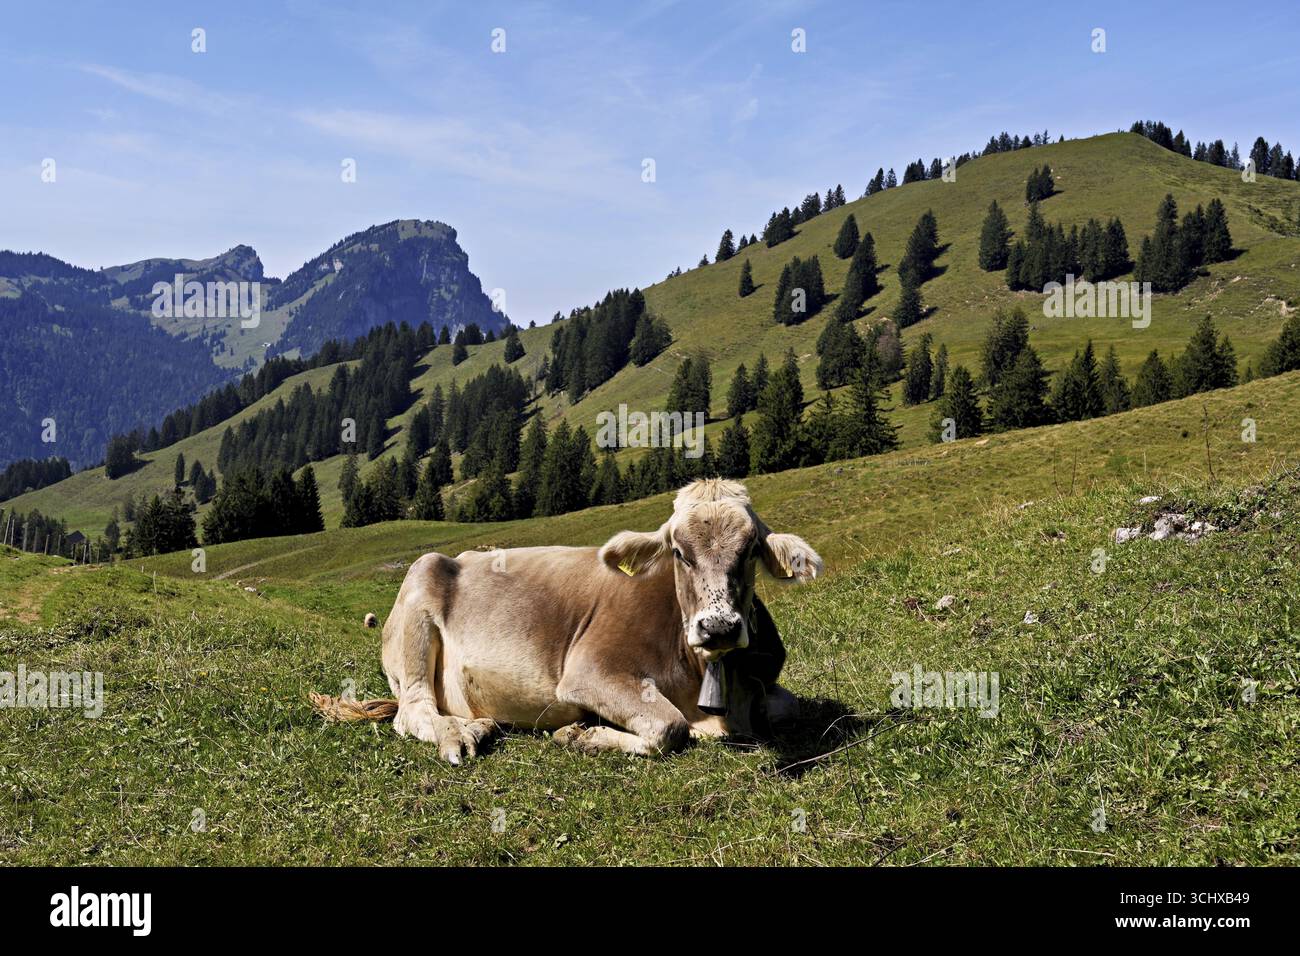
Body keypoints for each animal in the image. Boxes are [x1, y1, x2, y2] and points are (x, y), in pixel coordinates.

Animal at [311, 478, 822, 763]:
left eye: (750, 550)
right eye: (679, 552)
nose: (718, 628)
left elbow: (787, 706)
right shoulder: (589, 671)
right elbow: (668, 727)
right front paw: (580, 734)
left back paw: (480, 726)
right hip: (418, 598)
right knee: (413, 710)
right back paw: (459, 735)